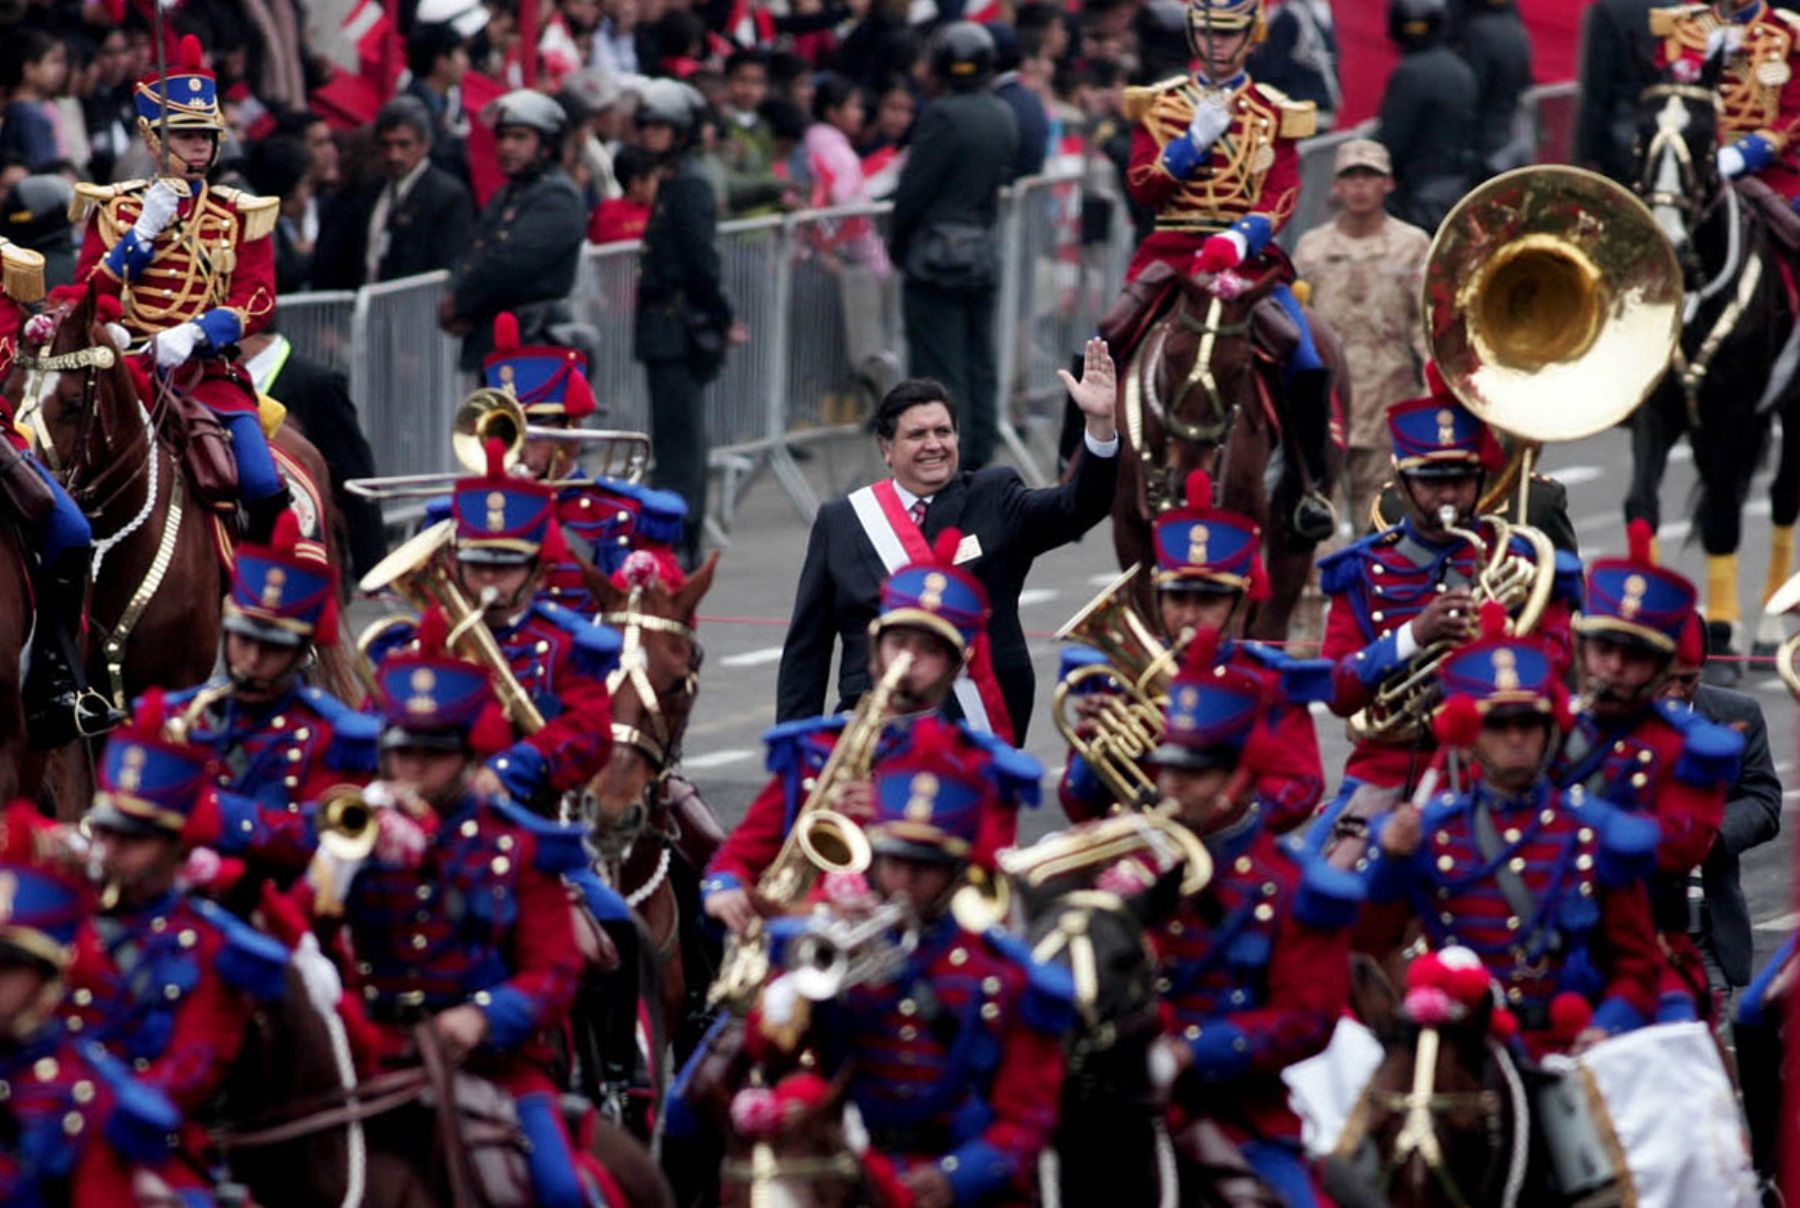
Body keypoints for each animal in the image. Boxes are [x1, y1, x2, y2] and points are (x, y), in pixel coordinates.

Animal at [1108, 261, 1353, 648]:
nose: (1186, 477)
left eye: (1240, 367)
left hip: (1292, 539)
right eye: (1172, 356)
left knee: (1270, 623)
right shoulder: (1131, 535)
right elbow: (1153, 626)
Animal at [1627, 62, 1800, 666]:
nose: (1671, 246)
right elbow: (1641, 506)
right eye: (1638, 138)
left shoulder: (1738, 412)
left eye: (1705, 144)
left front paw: (1723, 631)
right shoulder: (1657, 410)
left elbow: (1724, 517)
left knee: (1780, 500)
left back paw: (1771, 621)